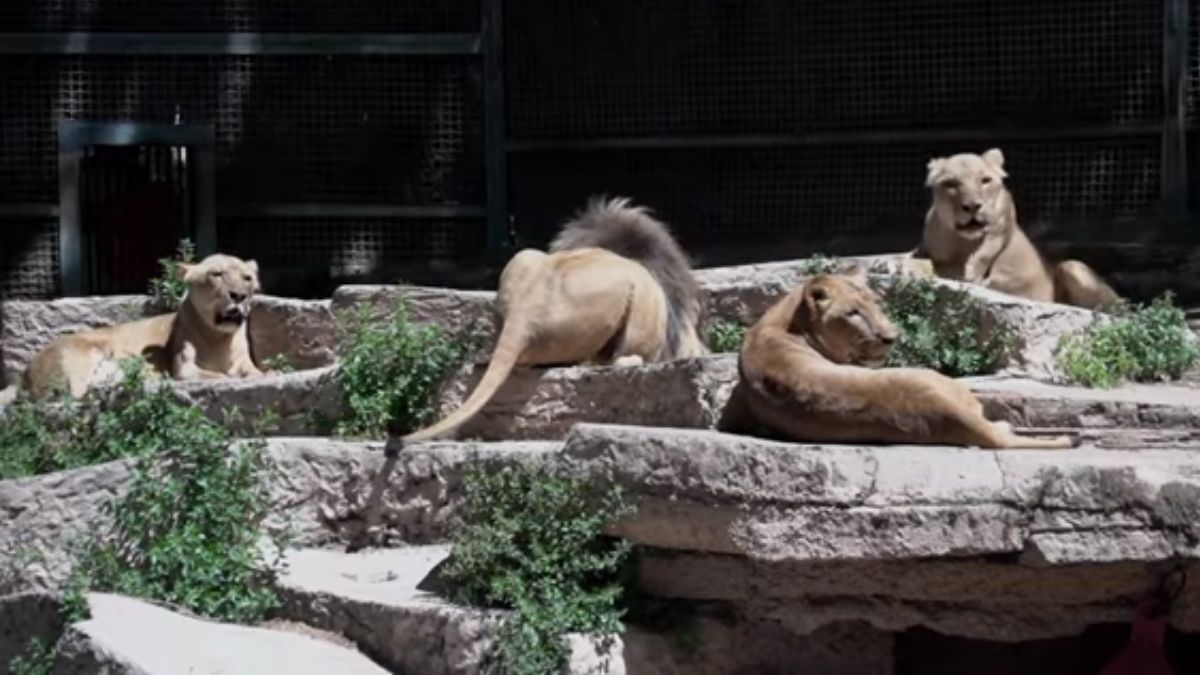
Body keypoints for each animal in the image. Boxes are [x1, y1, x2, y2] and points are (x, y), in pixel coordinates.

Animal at [720, 265, 1080, 449]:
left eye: (875, 303)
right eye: (852, 313)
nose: (890, 337)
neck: (780, 323)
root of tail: (945, 410)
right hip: (937, 378)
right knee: (989, 413)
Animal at [916, 148, 1123, 309]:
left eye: (985, 180)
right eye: (950, 184)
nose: (973, 206)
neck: (962, 242)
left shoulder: (1002, 226)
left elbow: (984, 253)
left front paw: (971, 269)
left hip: (1073, 266)